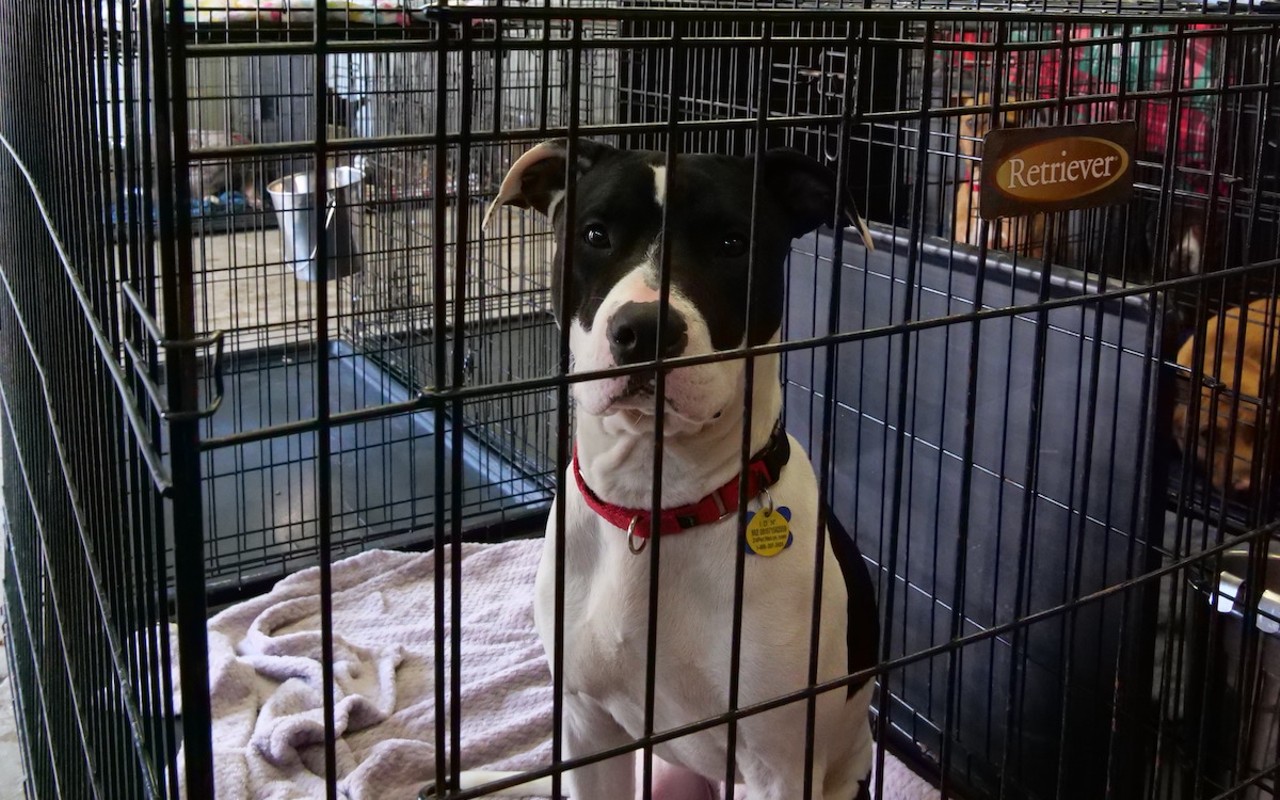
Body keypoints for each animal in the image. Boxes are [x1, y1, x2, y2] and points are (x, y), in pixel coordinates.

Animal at [481, 140, 880, 793]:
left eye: (732, 243)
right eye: (595, 234)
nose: (644, 330)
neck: (655, 503)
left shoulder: (778, 762)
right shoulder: (587, 733)